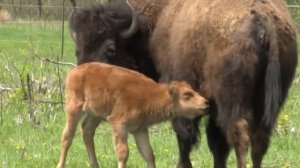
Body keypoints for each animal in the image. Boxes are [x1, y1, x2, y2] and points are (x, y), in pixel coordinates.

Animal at [56, 62, 209, 167]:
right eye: (187, 95)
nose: (206, 102)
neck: (150, 96)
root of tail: (75, 71)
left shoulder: (140, 130)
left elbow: (148, 153)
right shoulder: (119, 125)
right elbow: (123, 153)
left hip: (95, 115)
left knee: (87, 131)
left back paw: (95, 164)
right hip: (74, 108)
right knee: (67, 136)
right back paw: (60, 164)